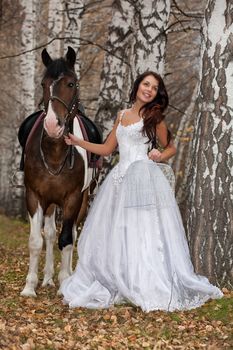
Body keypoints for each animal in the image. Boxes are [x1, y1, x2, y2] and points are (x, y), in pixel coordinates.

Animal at [20, 46, 99, 296]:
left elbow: (66, 240)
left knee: (71, 235)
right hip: (50, 203)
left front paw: (65, 284)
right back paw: (46, 278)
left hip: (81, 201)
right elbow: (36, 240)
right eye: (43, 84)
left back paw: (69, 277)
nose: (53, 125)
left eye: (71, 83)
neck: (55, 153)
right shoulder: (35, 196)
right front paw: (30, 286)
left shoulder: (73, 198)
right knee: (50, 234)